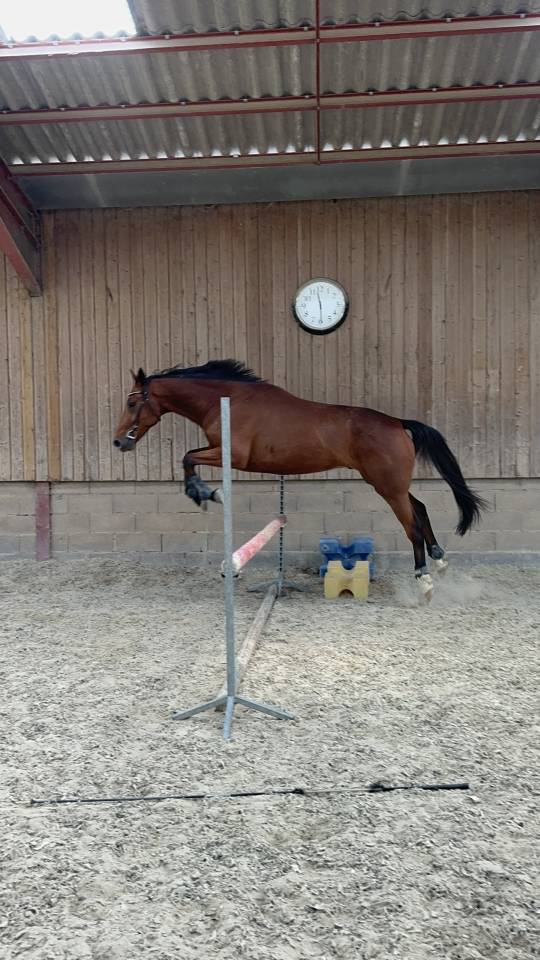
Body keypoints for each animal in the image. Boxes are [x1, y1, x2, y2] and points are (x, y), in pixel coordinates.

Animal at [113, 360, 485, 598]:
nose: (119, 442)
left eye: (131, 403)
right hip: (391, 485)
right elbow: (189, 455)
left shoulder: (233, 456)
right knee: (420, 509)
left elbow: (187, 457)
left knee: (412, 526)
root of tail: (397, 423)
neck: (225, 400)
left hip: (388, 488)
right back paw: (439, 560)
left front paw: (202, 492)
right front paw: (201, 492)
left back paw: (424, 580)